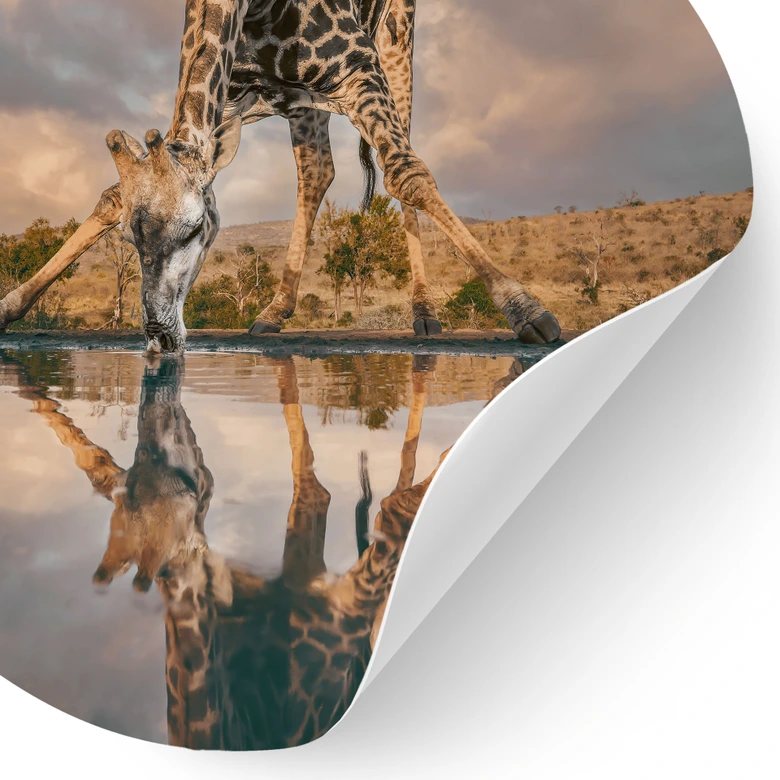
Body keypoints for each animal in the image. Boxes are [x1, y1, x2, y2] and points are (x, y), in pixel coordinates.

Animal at [0, 1, 561, 352]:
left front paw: (527, 311)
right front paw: (11, 305)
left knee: (396, 156)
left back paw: (424, 313)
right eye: (131, 241)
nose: (159, 336)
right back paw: (275, 309)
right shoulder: (229, 99)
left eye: (195, 230)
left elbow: (407, 173)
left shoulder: (357, 64)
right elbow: (114, 195)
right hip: (299, 101)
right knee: (317, 172)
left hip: (395, 43)